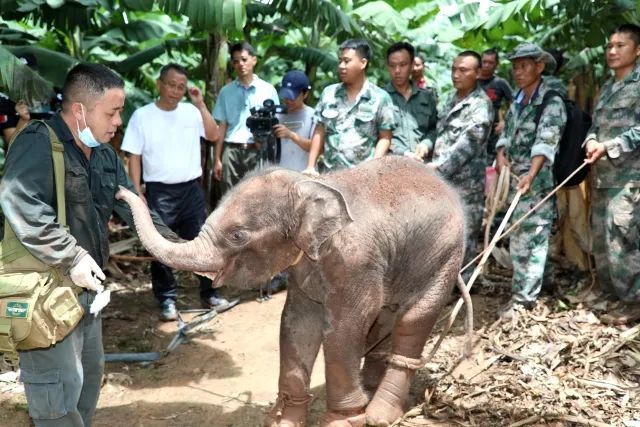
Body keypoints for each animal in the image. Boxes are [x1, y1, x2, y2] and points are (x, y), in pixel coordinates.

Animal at [116, 157, 464, 427]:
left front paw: (343, 420)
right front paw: (284, 419)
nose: (120, 192)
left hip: (445, 255)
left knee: (413, 320)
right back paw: (369, 389)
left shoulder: (356, 263)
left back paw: (378, 414)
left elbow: (342, 330)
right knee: (386, 318)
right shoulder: (305, 267)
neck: (312, 186)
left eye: (237, 235)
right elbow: (296, 324)